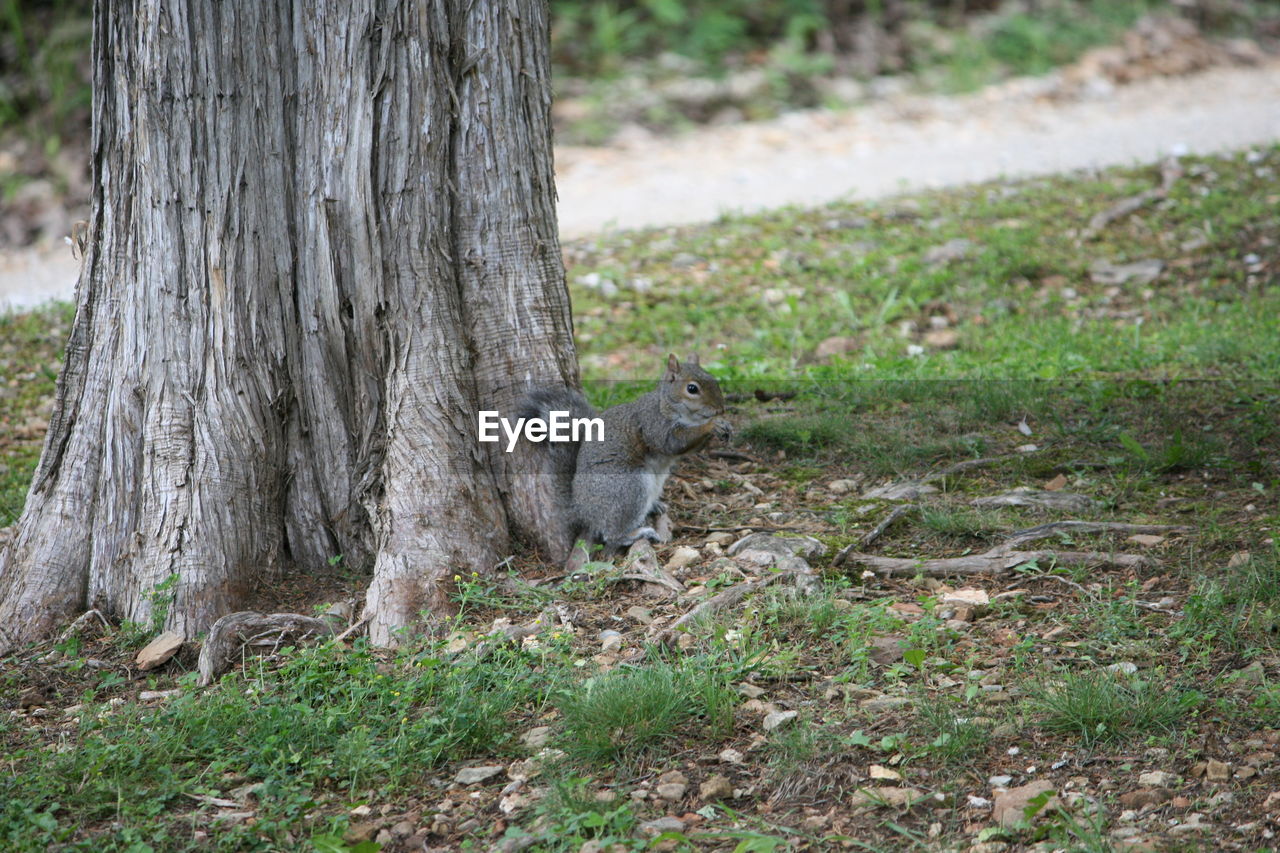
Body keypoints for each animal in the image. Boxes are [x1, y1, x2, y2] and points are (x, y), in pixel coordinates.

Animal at [519, 350, 732, 555]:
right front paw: (711, 425)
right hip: (628, 487)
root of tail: (581, 509)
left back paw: (654, 506)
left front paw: (724, 425)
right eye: (692, 389)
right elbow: (672, 443)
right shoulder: (653, 423)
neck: (667, 404)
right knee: (612, 535)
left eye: (713, 379)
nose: (720, 409)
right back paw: (635, 534)